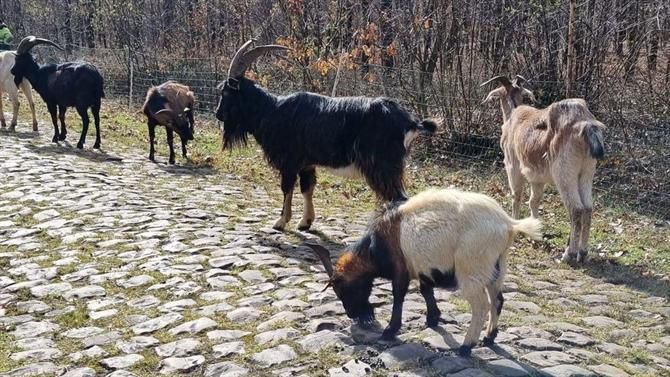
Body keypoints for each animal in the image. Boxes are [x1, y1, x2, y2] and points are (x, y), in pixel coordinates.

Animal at [217, 40, 440, 229]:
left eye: (226, 93)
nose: (218, 114)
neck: (270, 111)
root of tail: (410, 122)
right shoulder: (306, 164)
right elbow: (307, 188)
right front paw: (305, 222)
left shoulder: (289, 162)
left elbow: (286, 188)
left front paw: (280, 222)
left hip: (382, 167)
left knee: (399, 198)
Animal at [308, 188, 544, 356]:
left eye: (342, 289)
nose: (352, 315)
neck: (376, 246)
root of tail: (509, 225)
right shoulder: (424, 269)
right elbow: (425, 290)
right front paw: (433, 319)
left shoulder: (400, 269)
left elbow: (399, 296)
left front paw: (390, 330)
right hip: (496, 269)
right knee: (498, 300)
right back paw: (489, 337)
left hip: (471, 270)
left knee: (481, 306)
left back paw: (466, 347)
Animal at [480, 75, 608, 262]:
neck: (513, 115)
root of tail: (586, 125)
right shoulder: (537, 178)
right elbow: (534, 200)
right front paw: (535, 229)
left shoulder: (512, 165)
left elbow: (516, 196)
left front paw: (516, 224)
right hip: (586, 172)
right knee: (588, 208)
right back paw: (583, 253)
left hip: (564, 173)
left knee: (576, 209)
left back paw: (569, 254)